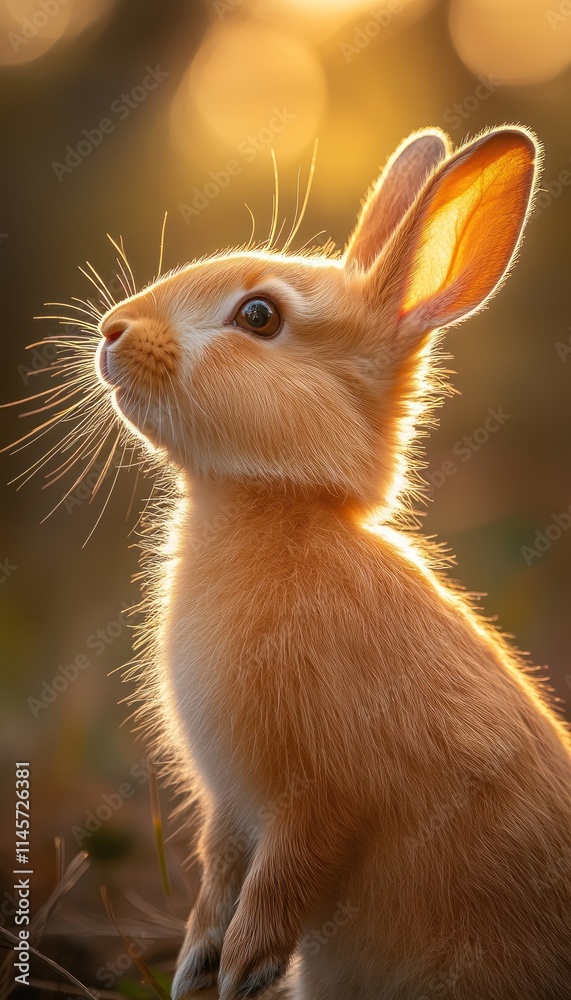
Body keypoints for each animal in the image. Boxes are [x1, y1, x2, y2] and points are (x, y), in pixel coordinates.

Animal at [91, 126, 571, 1000]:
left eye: (258, 316)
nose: (111, 330)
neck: (275, 505)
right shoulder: (229, 808)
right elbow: (219, 869)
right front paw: (196, 962)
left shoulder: (324, 796)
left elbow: (289, 875)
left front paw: (241, 966)